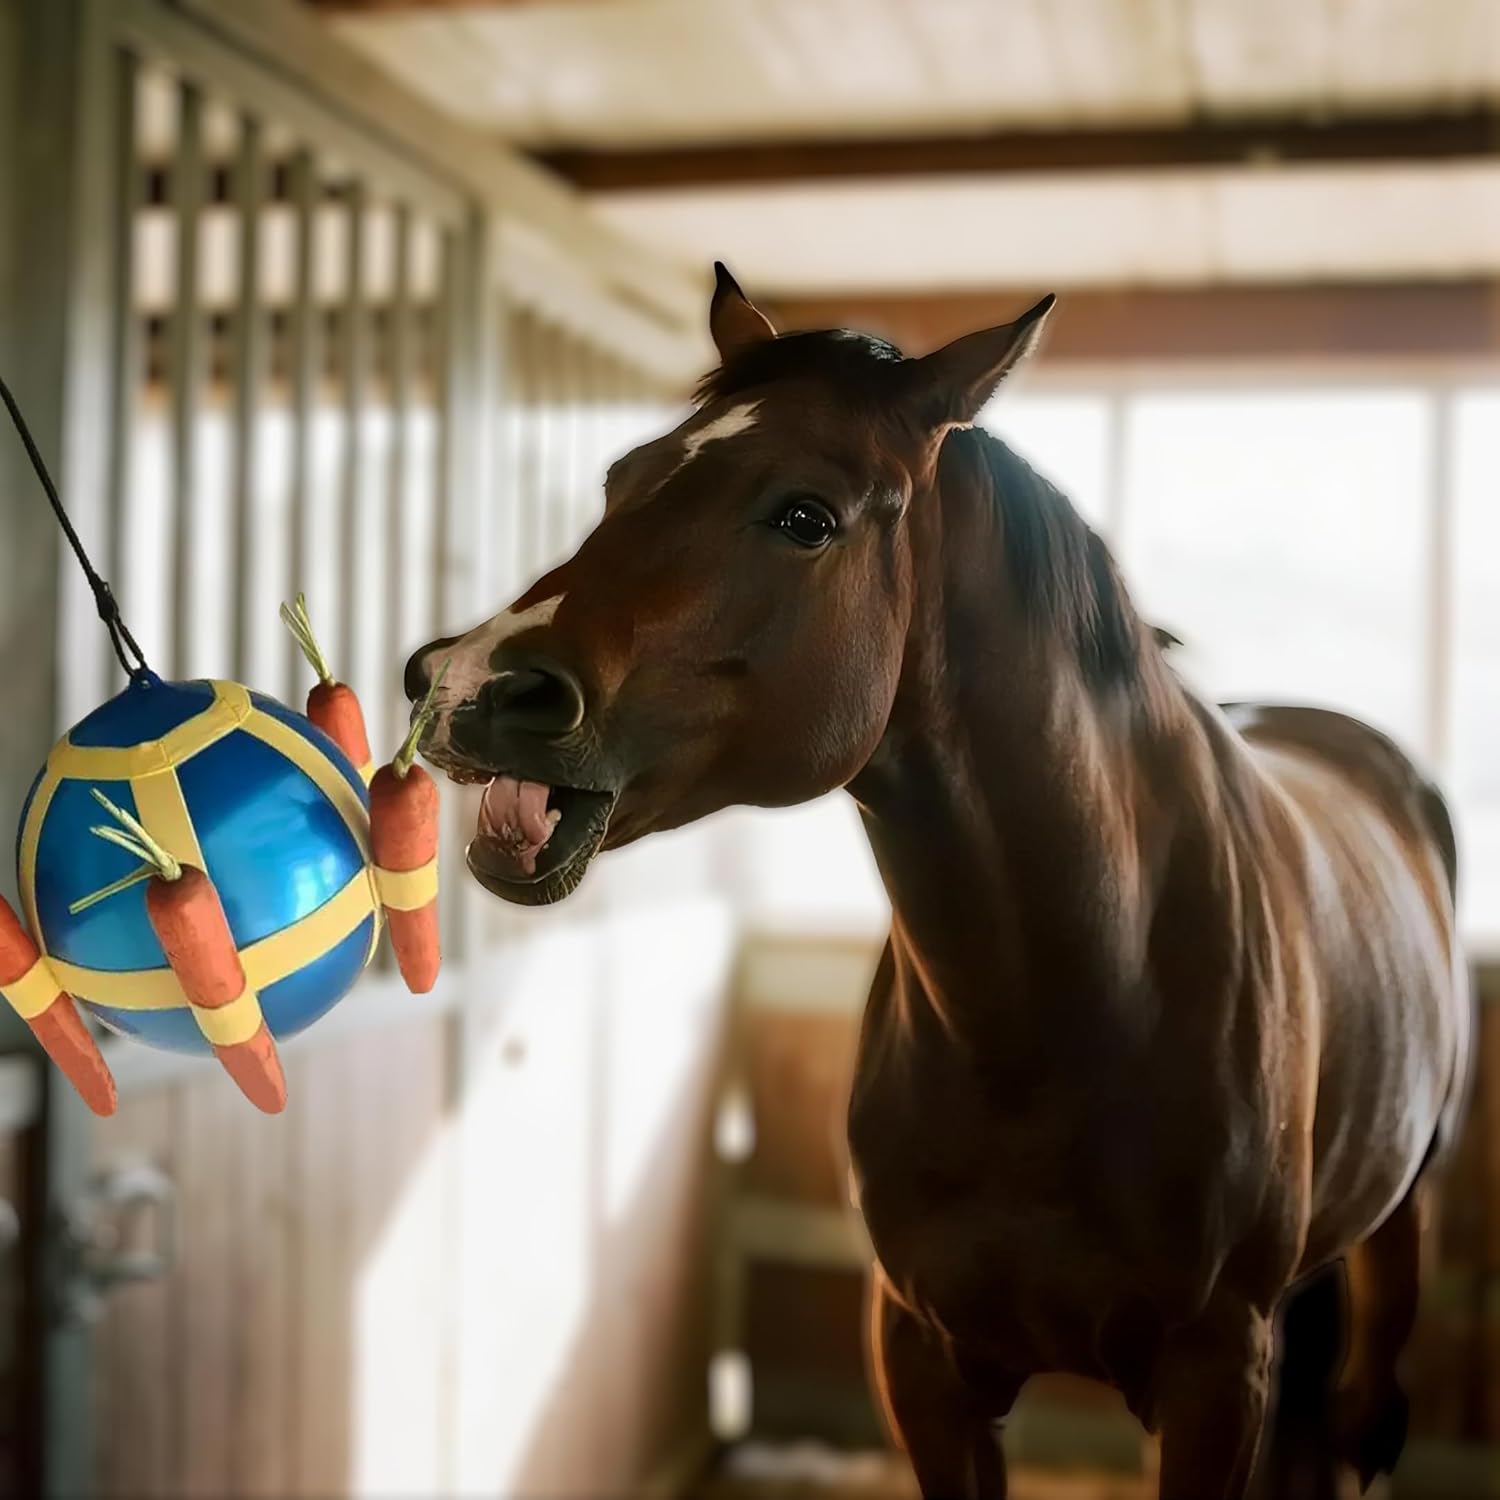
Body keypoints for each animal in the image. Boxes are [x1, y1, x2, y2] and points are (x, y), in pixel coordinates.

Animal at [404, 266, 1471, 1499]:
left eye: (805, 516)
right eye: (624, 479)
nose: (464, 684)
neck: (1081, 995)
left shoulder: (1215, 1376)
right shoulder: (922, 1359)